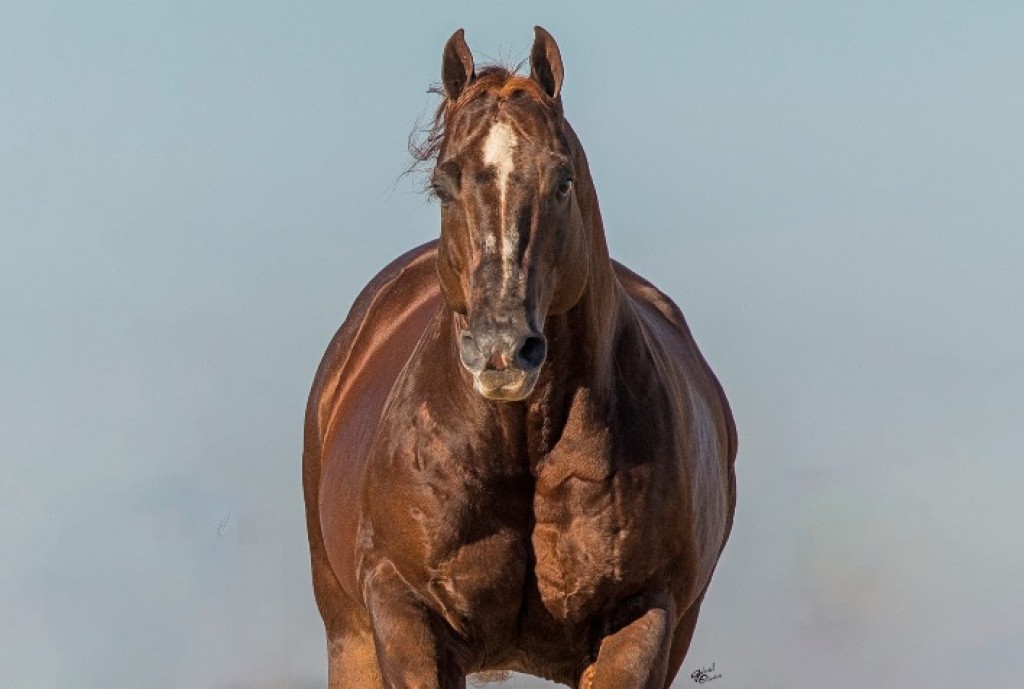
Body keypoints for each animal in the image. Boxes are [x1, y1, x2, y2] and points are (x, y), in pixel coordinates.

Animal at [302, 26, 737, 689]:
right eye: (444, 183)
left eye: (562, 180)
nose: (502, 348)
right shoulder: (406, 615)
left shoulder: (641, 620)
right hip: (349, 636)